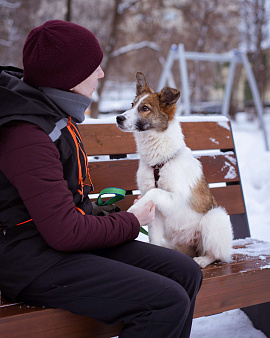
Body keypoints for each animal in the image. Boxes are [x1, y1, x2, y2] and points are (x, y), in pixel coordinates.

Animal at [115, 72, 233, 268]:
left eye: (144, 108)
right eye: (132, 104)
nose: (118, 118)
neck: (158, 162)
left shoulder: (176, 197)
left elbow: (154, 191)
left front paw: (134, 208)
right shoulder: (155, 214)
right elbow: (154, 238)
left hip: (214, 218)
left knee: (216, 254)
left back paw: (203, 259)